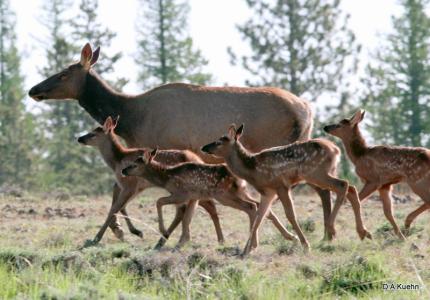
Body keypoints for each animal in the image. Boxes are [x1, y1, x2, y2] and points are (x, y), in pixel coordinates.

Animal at [78, 116, 225, 247]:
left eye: (93, 134)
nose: (79, 138)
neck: (117, 161)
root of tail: (200, 160)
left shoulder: (129, 184)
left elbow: (115, 208)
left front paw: (96, 238)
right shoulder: (136, 187)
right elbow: (121, 206)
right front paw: (135, 231)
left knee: (206, 207)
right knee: (190, 209)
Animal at [119, 149, 298, 250]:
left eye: (136, 163)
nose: (124, 170)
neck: (166, 177)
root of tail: (239, 178)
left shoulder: (182, 193)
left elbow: (160, 201)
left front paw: (164, 231)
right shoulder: (194, 197)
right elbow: (187, 218)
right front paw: (182, 242)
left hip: (224, 194)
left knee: (251, 207)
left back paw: (254, 243)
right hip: (238, 192)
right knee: (260, 206)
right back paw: (288, 237)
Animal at [201, 124, 370, 255]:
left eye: (218, 141)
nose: (204, 147)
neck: (253, 170)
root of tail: (336, 149)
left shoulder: (280, 185)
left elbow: (290, 215)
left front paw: (304, 244)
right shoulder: (267, 192)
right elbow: (260, 216)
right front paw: (246, 250)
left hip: (316, 173)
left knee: (343, 185)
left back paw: (332, 229)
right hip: (324, 172)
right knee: (351, 188)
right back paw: (363, 232)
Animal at [324, 109, 430, 238]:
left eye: (339, 124)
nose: (326, 127)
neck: (359, 155)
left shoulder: (373, 180)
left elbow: (357, 200)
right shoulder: (385, 185)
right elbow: (388, 212)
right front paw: (400, 236)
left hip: (417, 180)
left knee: (428, 201)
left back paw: (407, 222)